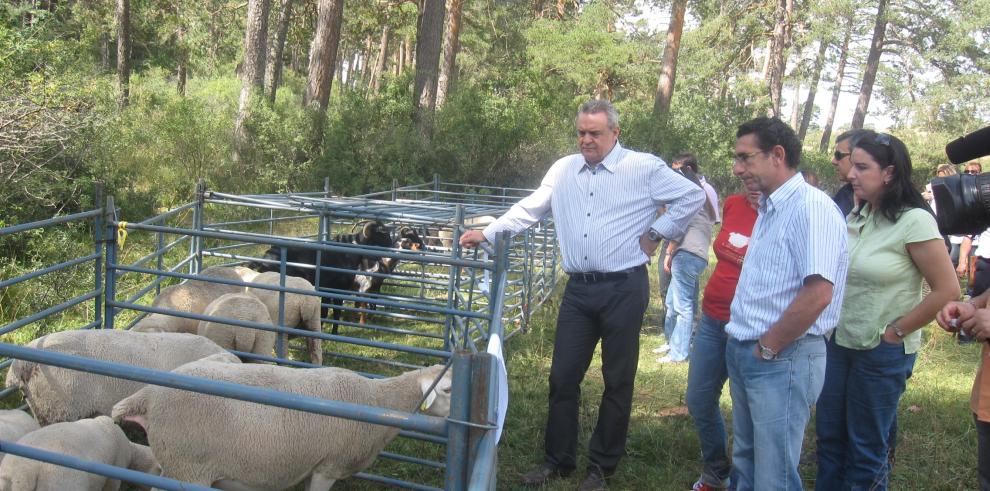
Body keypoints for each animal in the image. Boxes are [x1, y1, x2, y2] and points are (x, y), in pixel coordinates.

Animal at [115, 362, 454, 491]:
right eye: (449, 389)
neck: (377, 402)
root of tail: (148, 395)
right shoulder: (329, 466)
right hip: (189, 469)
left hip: (171, 460)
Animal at [248, 222, 396, 334]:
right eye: (382, 232)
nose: (392, 245)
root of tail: (262, 260)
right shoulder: (336, 290)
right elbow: (334, 312)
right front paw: (333, 333)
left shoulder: (326, 290)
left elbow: (325, 312)